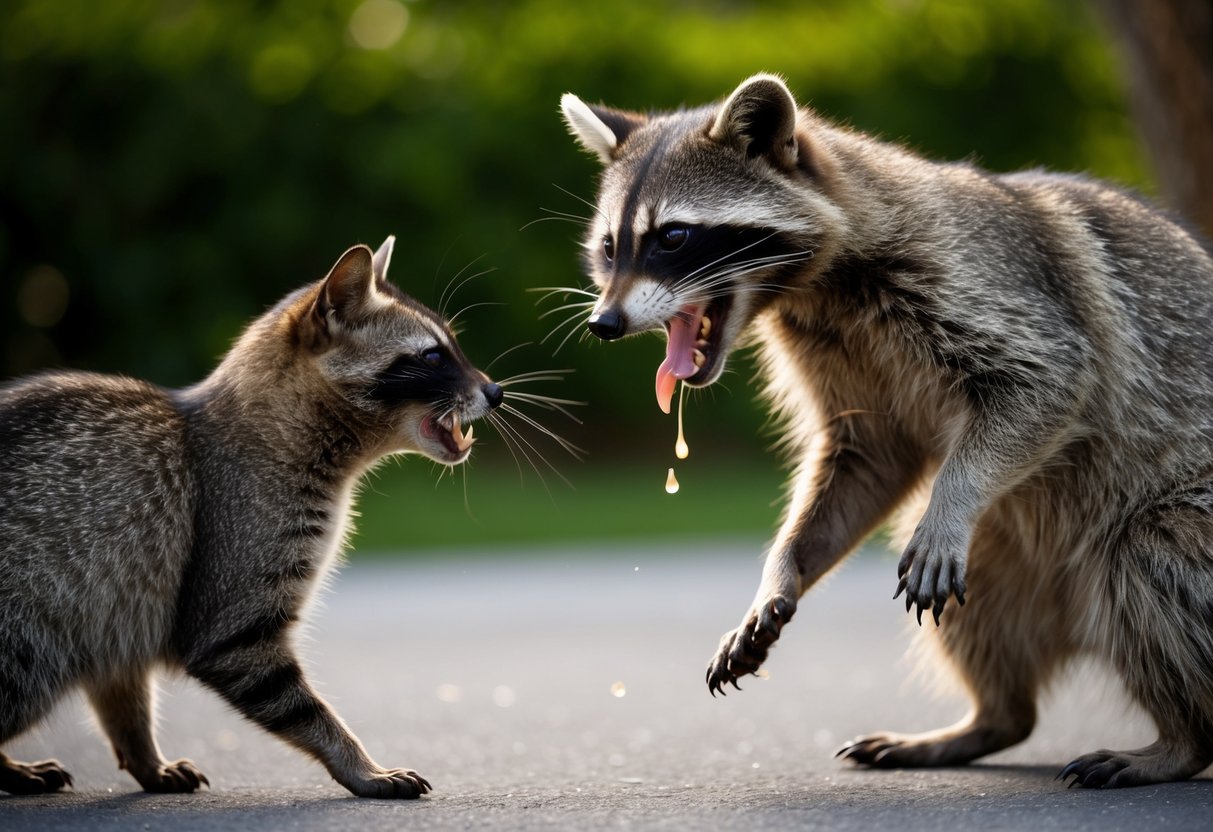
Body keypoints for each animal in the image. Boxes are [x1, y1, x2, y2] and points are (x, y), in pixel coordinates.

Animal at [0, 238, 504, 798]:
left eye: (453, 349)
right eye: (433, 357)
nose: (496, 390)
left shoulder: (120, 613)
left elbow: (122, 691)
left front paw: (144, 755)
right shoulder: (231, 594)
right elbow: (300, 704)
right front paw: (356, 761)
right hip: (30, 639)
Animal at [561, 74, 1213, 788]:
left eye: (673, 236)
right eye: (609, 247)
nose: (604, 323)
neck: (812, 288)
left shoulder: (985, 277)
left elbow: (1050, 379)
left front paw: (954, 495)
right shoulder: (836, 355)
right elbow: (868, 461)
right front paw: (784, 567)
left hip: (1173, 514)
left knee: (1153, 554)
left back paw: (1182, 741)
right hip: (1009, 556)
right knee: (989, 625)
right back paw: (989, 718)